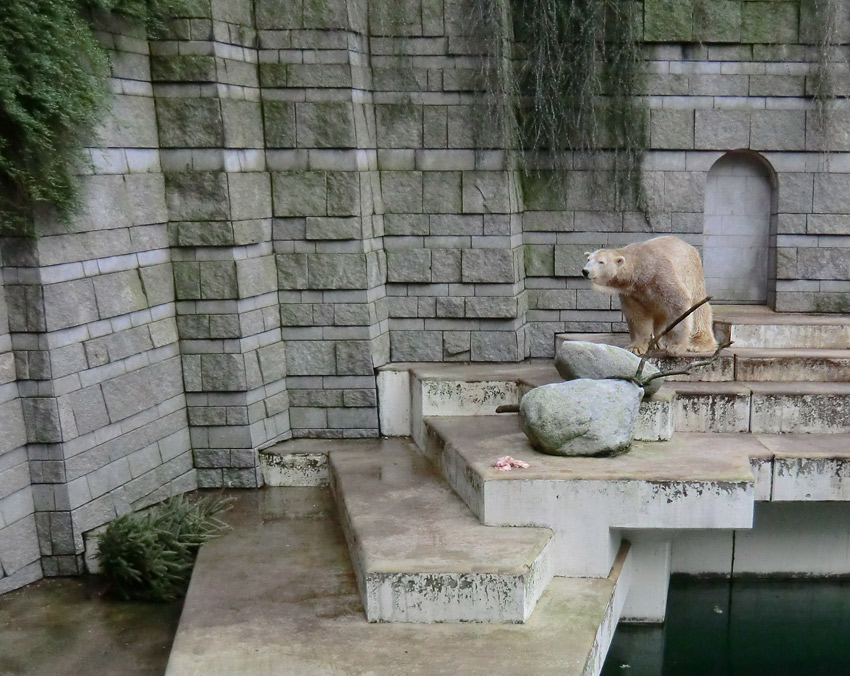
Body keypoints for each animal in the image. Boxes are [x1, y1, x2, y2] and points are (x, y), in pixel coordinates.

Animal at [580, 236, 712, 356]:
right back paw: (658, 341)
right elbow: (637, 316)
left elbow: (679, 304)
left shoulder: (661, 276)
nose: (585, 271)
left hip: (691, 274)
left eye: (601, 262)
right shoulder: (632, 293)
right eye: (588, 259)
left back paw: (698, 344)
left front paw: (676, 347)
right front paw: (635, 347)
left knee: (698, 309)